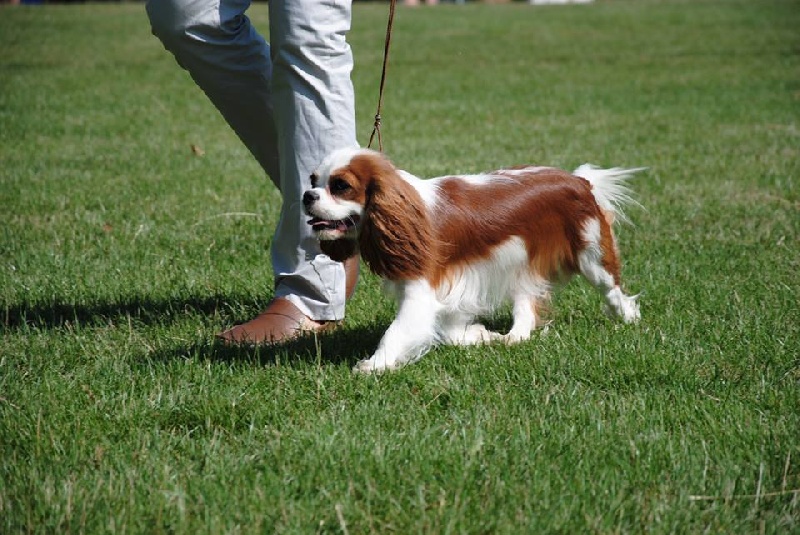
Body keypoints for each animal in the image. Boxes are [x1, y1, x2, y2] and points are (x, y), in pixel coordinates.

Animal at [302, 147, 644, 372]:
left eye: (341, 186)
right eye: (313, 180)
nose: (307, 195)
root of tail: (579, 180)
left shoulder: (421, 291)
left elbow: (397, 331)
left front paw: (374, 364)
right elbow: (451, 331)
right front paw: (480, 335)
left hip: (591, 254)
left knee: (613, 290)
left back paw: (628, 319)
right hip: (521, 265)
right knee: (527, 309)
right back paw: (513, 337)